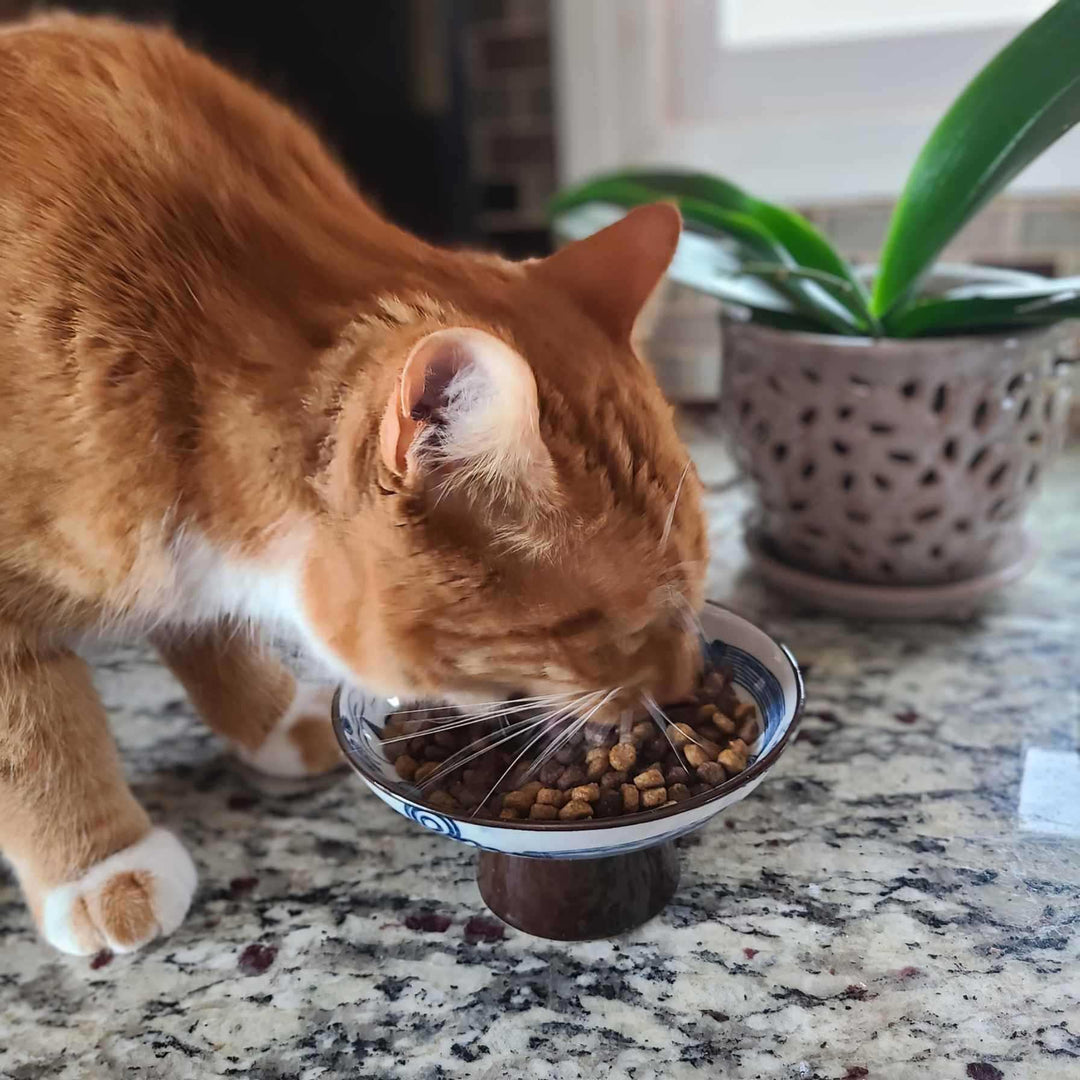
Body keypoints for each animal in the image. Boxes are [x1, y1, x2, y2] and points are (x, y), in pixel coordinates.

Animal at [0, 14, 708, 954]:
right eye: (601, 630)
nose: (684, 685)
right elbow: (38, 736)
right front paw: (101, 865)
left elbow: (202, 623)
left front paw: (268, 717)